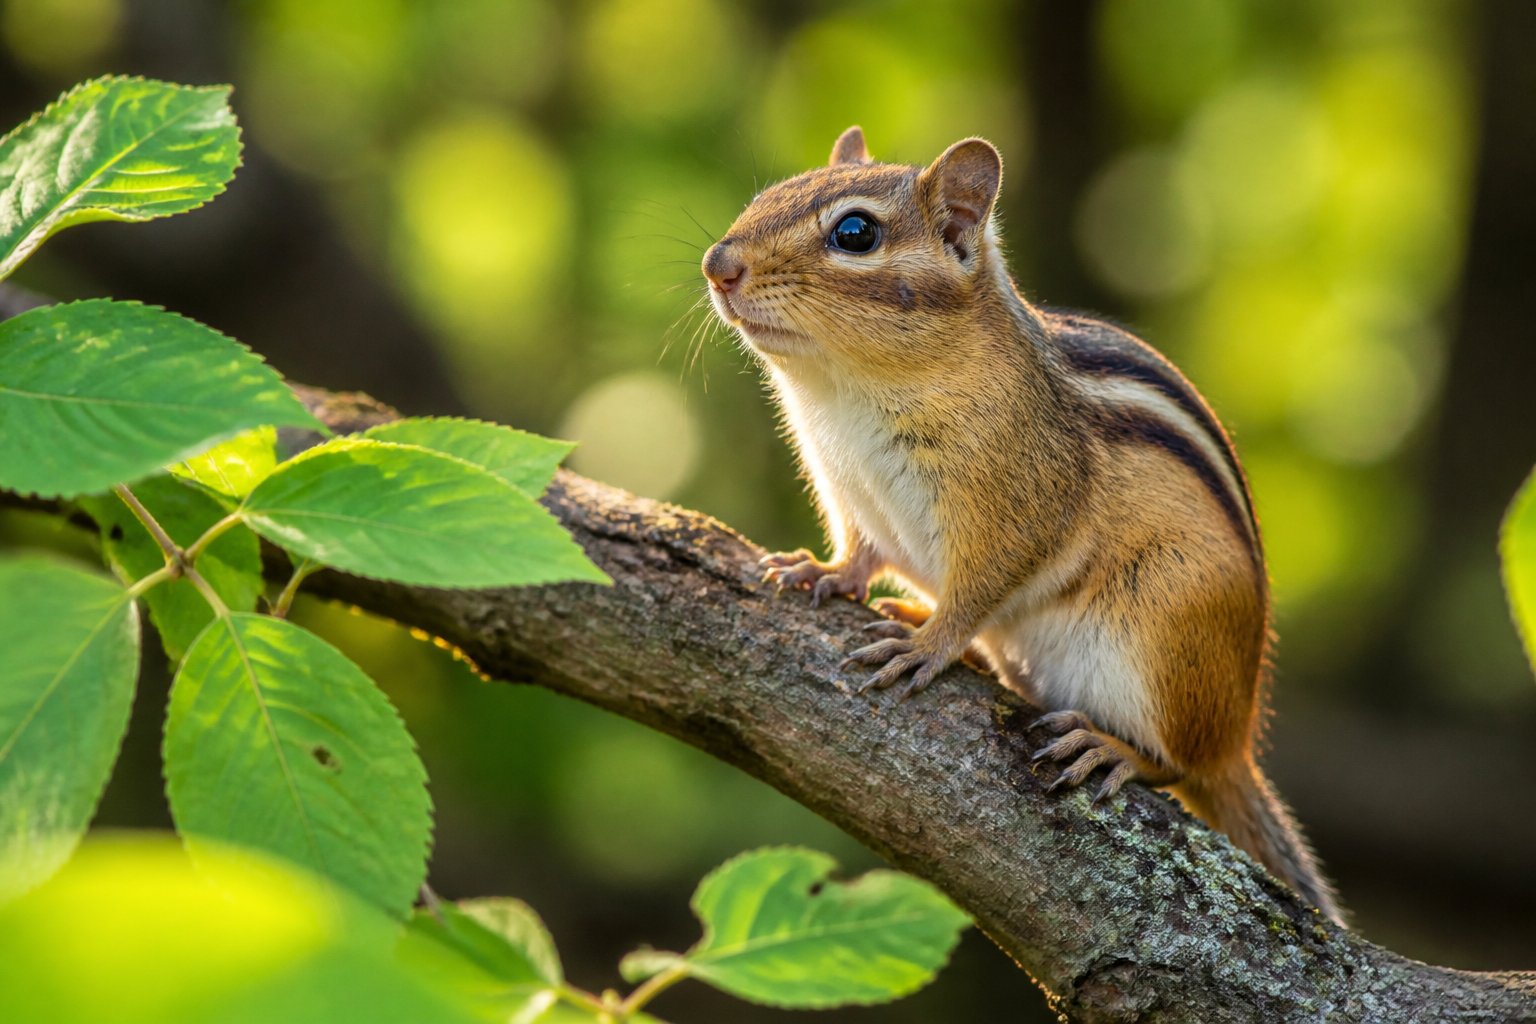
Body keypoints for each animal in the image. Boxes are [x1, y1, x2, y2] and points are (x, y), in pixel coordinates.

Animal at [700, 126, 1341, 923]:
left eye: (854, 233)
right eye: (763, 198)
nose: (717, 265)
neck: (845, 391)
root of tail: (1238, 739)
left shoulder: (1019, 505)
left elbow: (984, 583)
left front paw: (931, 643)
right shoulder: (850, 495)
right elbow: (861, 553)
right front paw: (822, 571)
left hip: (1165, 638)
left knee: (1180, 763)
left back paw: (1113, 748)